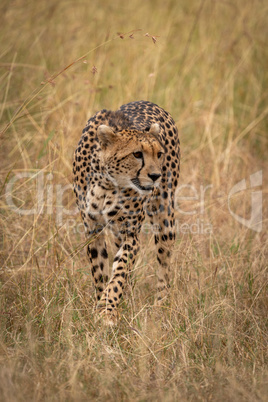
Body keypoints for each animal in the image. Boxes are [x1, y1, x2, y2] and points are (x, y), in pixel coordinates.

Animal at [73, 99, 180, 324]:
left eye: (159, 154)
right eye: (137, 154)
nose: (156, 176)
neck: (106, 182)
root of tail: (146, 101)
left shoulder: (130, 233)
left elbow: (120, 271)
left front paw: (107, 310)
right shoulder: (92, 229)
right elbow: (101, 272)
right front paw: (103, 305)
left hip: (165, 216)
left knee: (164, 261)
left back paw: (161, 306)